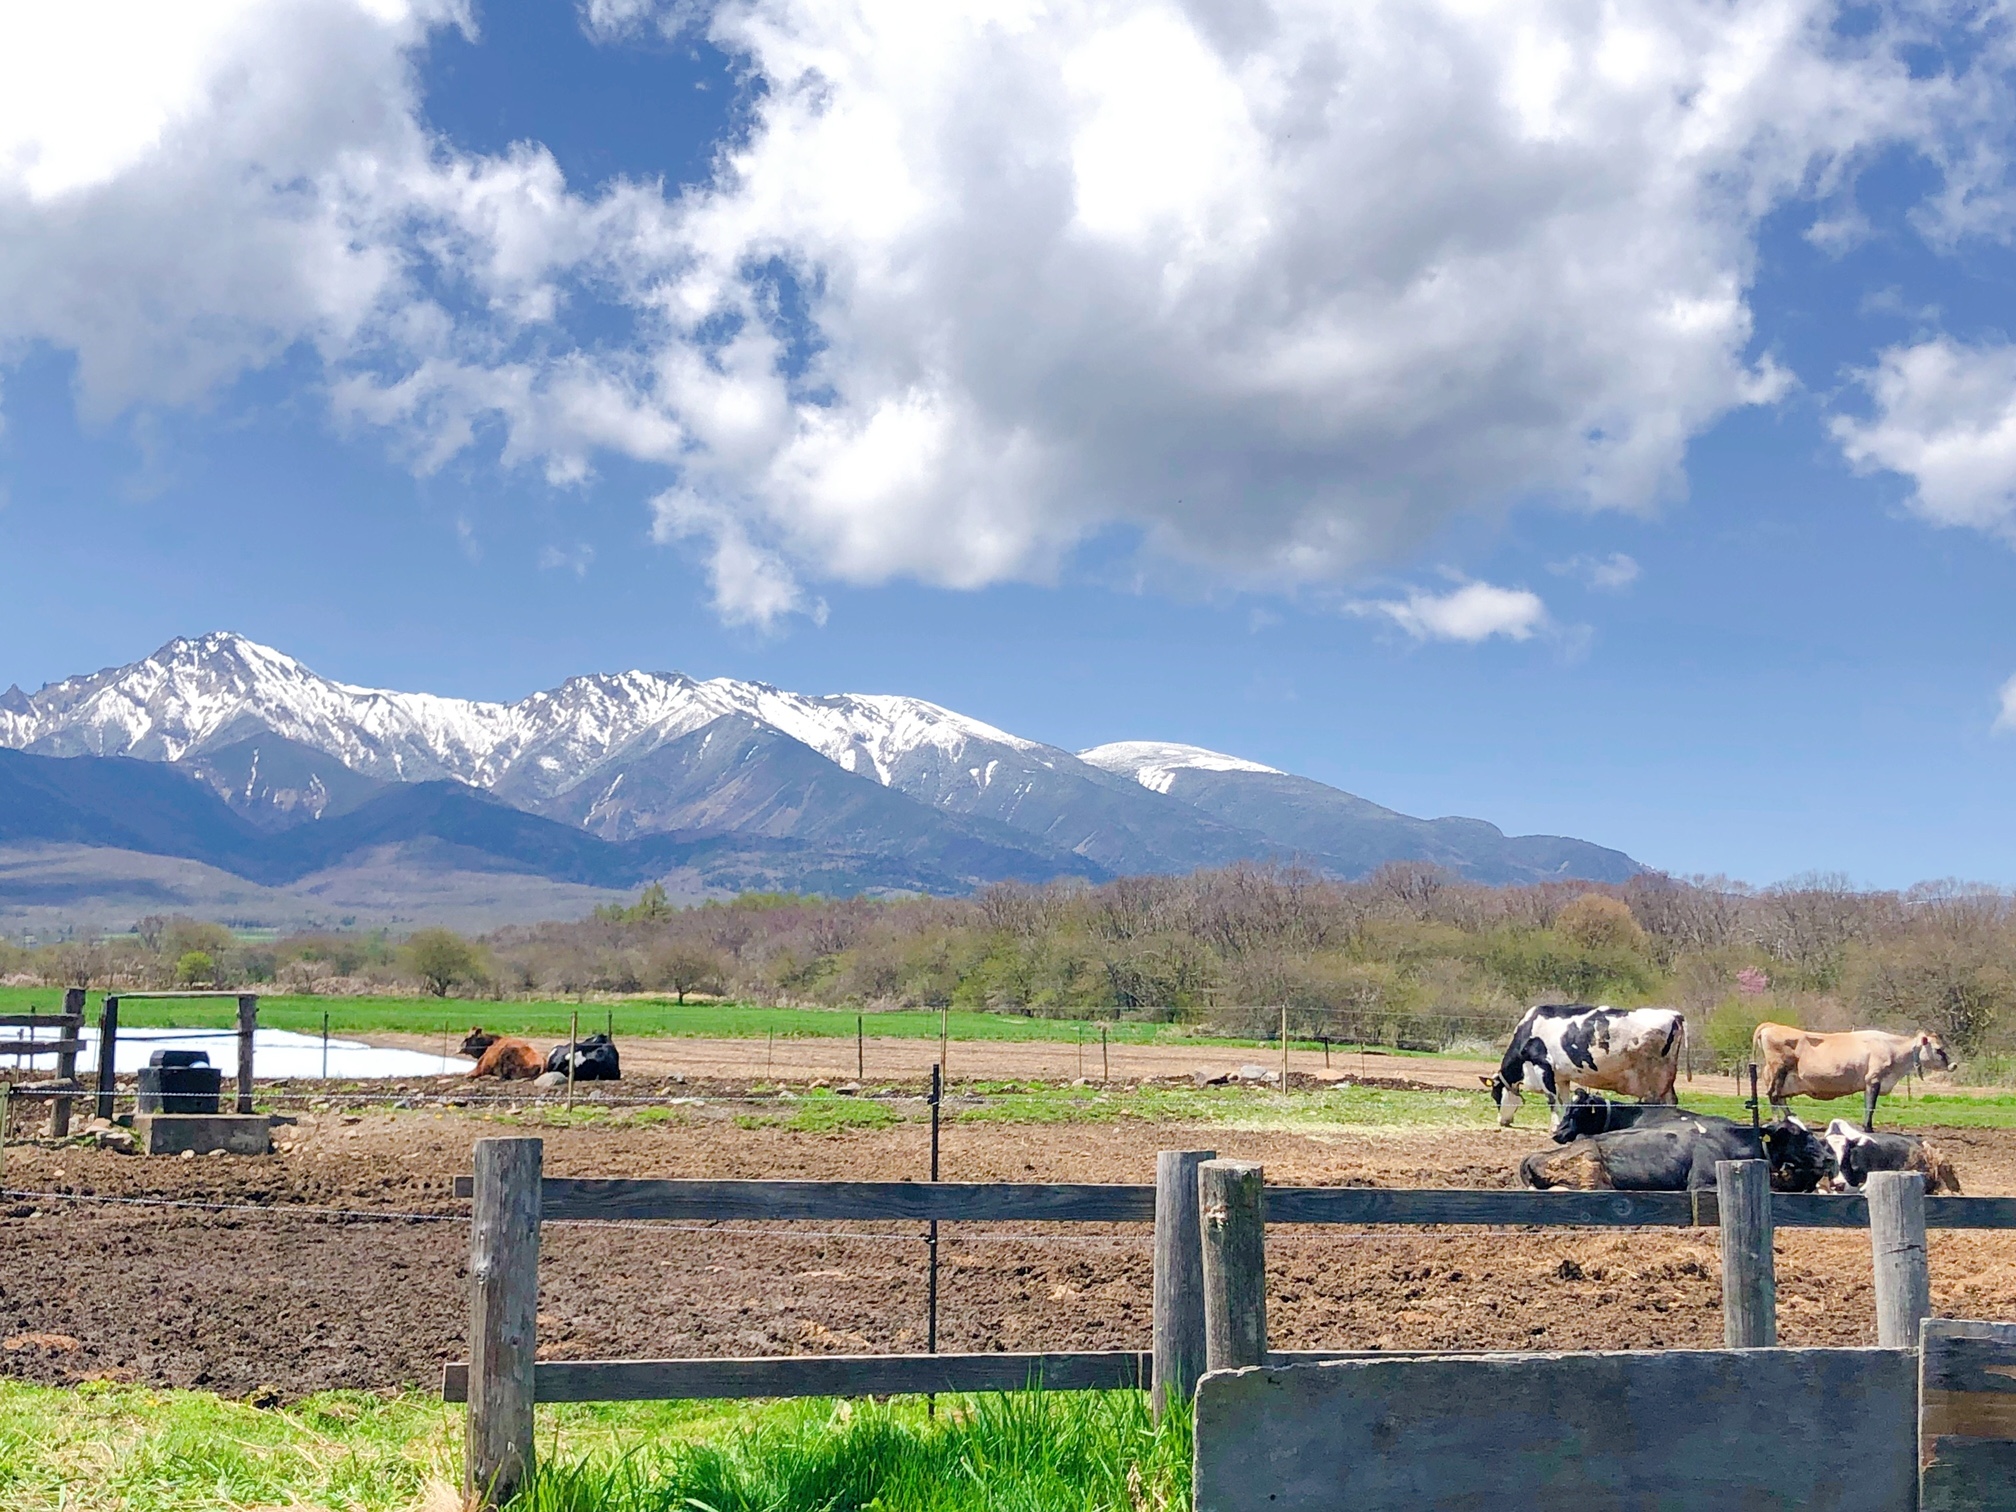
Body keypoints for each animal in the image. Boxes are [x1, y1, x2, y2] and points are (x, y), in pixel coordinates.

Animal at [1487, 1005, 1687, 1128]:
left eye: (1495, 1095)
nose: (1501, 1121)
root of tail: (1674, 1015)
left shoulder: (1542, 1064)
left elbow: (1551, 1098)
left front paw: (1554, 1126)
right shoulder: (1562, 1075)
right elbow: (1564, 1100)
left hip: (1654, 1076)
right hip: (1667, 1077)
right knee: (1671, 1101)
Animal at [1751, 1023, 1955, 1130]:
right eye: (1939, 1049)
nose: (1953, 1065)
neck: (1891, 1048)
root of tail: (1771, 1025)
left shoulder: (1869, 1083)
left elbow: (1867, 1105)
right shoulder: (1874, 1079)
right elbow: (1871, 1107)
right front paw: (1868, 1128)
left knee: (1780, 1098)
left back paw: (1793, 1120)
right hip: (1779, 1070)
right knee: (1773, 1095)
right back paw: (1779, 1122)